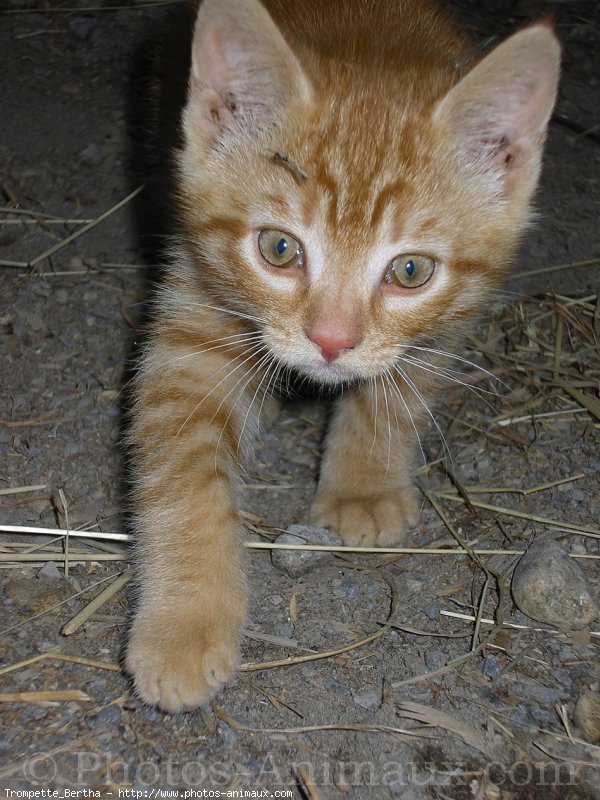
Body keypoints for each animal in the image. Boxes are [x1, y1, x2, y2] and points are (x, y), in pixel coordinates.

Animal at [124, 0, 560, 708]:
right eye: (278, 249)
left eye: (411, 270)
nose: (330, 341)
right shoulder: (192, 315)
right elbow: (181, 473)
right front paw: (183, 622)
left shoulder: (443, 323)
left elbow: (394, 394)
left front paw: (363, 485)